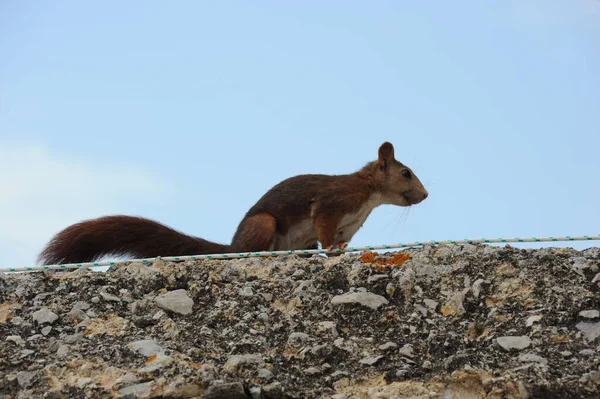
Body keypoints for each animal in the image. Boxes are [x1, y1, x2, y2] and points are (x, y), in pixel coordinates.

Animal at [37, 141, 428, 266]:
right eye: (406, 173)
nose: (425, 195)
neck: (369, 195)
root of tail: (233, 245)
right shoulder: (331, 205)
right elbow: (325, 229)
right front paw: (332, 250)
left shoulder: (350, 224)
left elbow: (339, 240)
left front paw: (339, 250)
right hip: (264, 224)